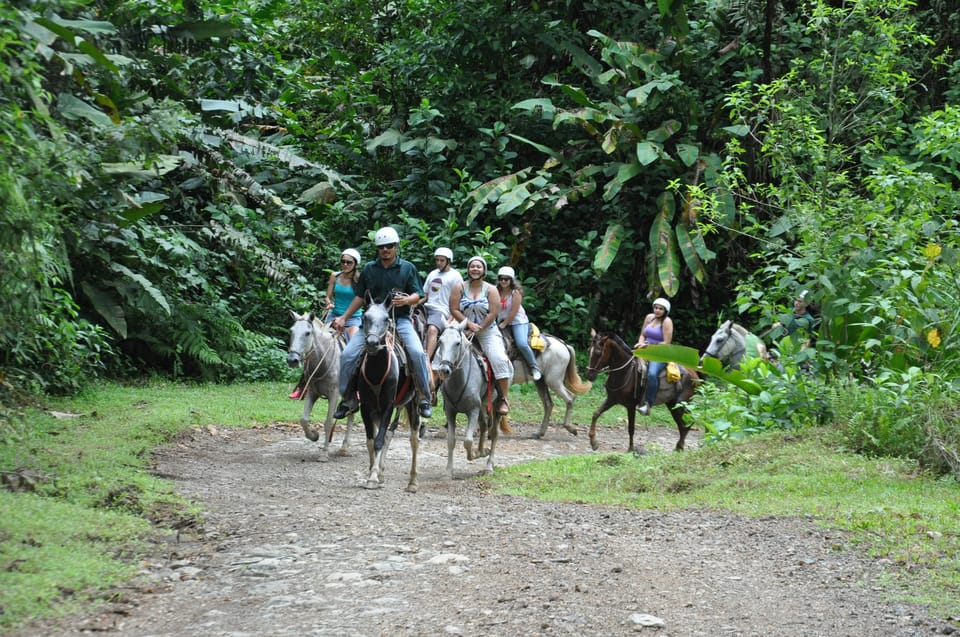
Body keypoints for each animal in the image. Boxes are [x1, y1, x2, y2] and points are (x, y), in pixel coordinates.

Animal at [290, 310, 358, 460]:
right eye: (291, 331)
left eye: (307, 333)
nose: (292, 360)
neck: (323, 360)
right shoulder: (312, 392)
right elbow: (303, 419)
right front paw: (314, 435)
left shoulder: (334, 394)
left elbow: (328, 422)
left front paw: (324, 453)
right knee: (351, 414)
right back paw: (344, 448)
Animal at [432, 320, 498, 474]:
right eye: (440, 341)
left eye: (457, 343)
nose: (444, 370)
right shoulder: (450, 411)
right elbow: (451, 440)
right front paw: (448, 470)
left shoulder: (473, 411)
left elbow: (468, 441)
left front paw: (472, 454)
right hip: (482, 407)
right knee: (484, 426)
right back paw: (482, 451)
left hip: (496, 405)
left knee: (494, 433)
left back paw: (489, 465)